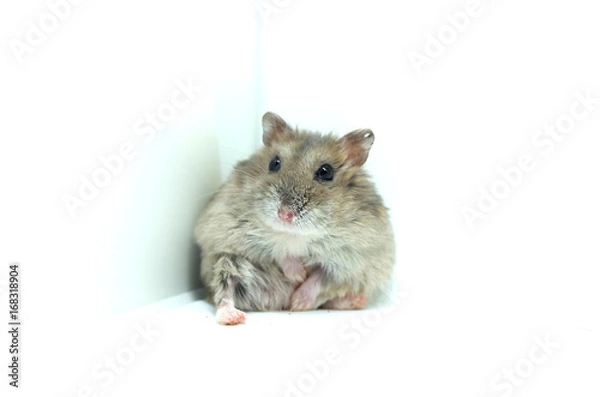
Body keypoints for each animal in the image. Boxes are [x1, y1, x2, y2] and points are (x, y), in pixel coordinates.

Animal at [195, 111, 396, 324]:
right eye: (274, 163)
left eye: (326, 172)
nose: (284, 215)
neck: (296, 234)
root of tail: (275, 303)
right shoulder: (233, 226)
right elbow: (277, 246)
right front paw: (297, 274)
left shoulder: (353, 256)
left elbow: (320, 276)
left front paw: (299, 301)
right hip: (225, 263)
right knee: (224, 291)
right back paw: (233, 317)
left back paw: (353, 301)